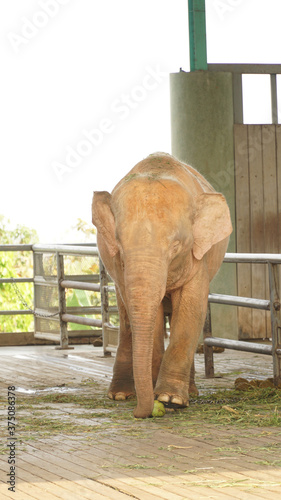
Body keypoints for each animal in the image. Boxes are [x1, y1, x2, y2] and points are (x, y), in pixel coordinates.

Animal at [92, 152, 232, 418]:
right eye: (119, 245)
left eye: (176, 246)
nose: (140, 413)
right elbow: (150, 315)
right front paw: (157, 396)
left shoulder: (198, 257)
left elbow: (191, 309)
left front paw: (169, 399)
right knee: (126, 321)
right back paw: (120, 394)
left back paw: (190, 393)